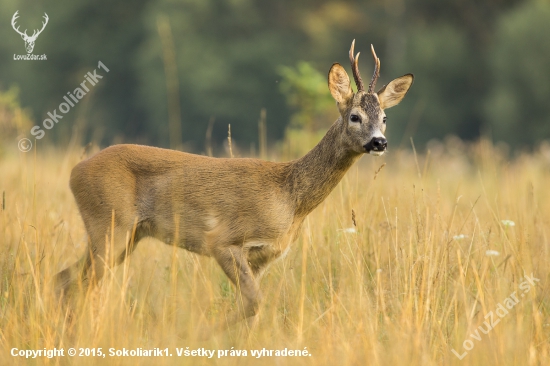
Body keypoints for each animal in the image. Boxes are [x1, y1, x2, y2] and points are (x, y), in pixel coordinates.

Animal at [56, 40, 414, 332]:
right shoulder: (222, 240)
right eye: (355, 116)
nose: (379, 142)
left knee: (68, 278)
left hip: (128, 235)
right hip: (110, 224)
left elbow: (253, 308)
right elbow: (254, 302)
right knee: (73, 280)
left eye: (384, 118)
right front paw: (202, 334)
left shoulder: (264, 257)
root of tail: (75, 171)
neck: (291, 198)